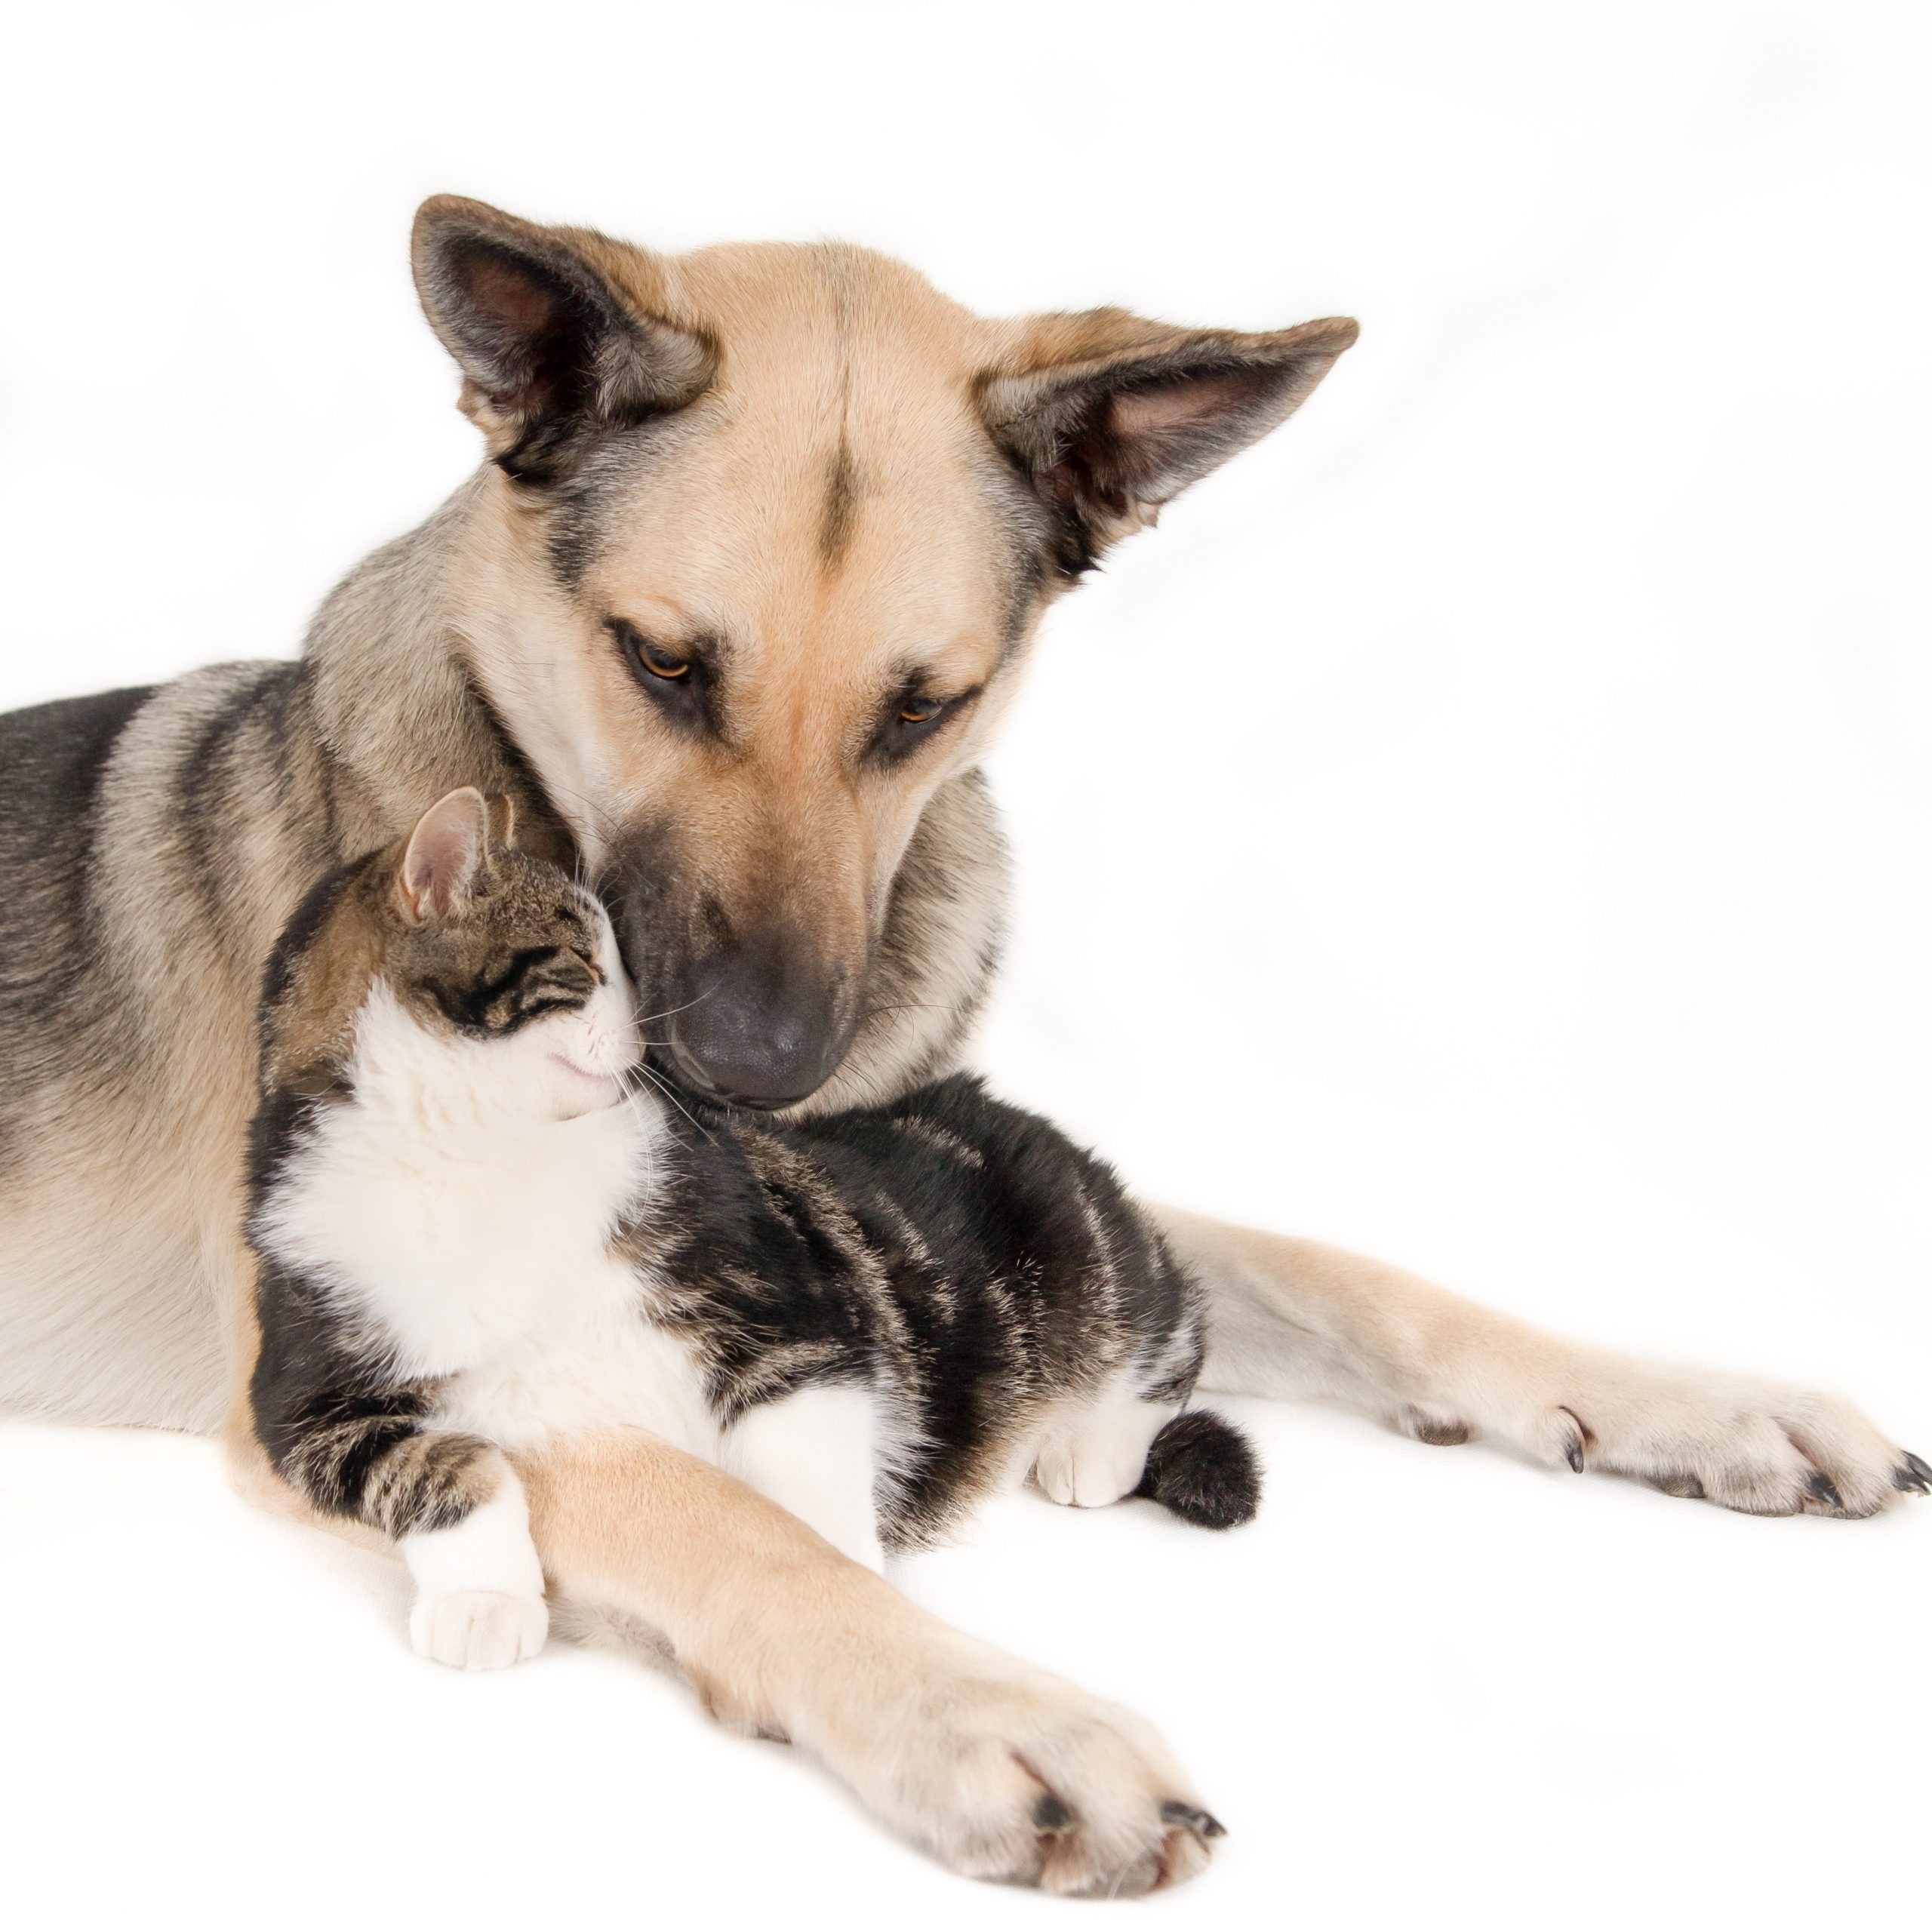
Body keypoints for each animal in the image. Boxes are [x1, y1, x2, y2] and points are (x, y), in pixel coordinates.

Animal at [245, 792, 1267, 1669]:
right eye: (585, 965)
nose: (651, 1040)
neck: (480, 1152)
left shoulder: (790, 1308)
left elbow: (807, 1453)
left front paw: (846, 1586)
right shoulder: (303, 1397)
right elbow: (441, 1466)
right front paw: (484, 1600)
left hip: (1078, 1249)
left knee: (1173, 1322)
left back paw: (1094, 1443)